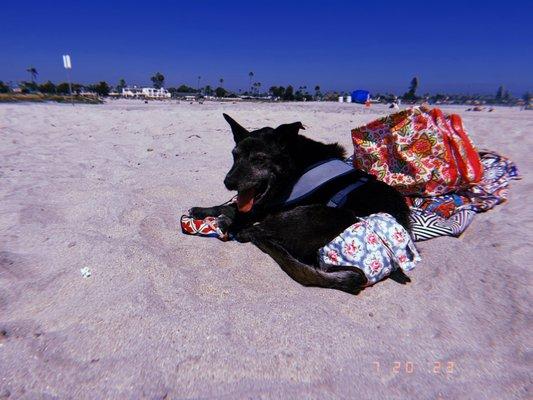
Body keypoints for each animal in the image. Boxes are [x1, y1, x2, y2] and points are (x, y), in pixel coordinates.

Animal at [191, 114, 412, 292]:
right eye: (234, 155)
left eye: (260, 159)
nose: (228, 183)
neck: (295, 162)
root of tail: (362, 275)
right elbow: (230, 205)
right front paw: (203, 210)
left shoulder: (268, 206)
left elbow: (236, 210)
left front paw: (220, 215)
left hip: (327, 214)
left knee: (253, 232)